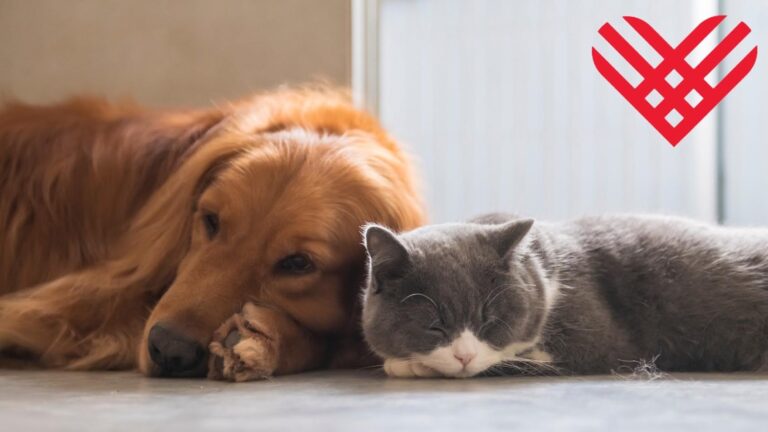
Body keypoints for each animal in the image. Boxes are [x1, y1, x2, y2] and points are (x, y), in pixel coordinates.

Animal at [360, 213, 768, 378]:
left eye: (490, 321)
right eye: (434, 326)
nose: (464, 356)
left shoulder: (598, 341)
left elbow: (510, 361)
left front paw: (406, 365)